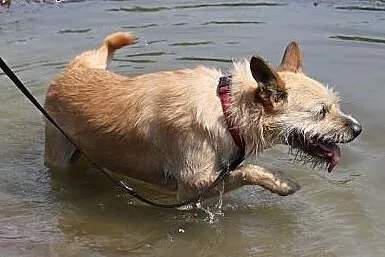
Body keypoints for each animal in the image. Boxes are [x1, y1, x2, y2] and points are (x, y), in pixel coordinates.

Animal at [44, 32, 360, 199]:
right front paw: (281, 182)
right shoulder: (193, 184)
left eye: (335, 106)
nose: (357, 129)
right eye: (321, 112)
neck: (227, 110)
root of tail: (74, 70)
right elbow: (246, 170)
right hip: (59, 156)